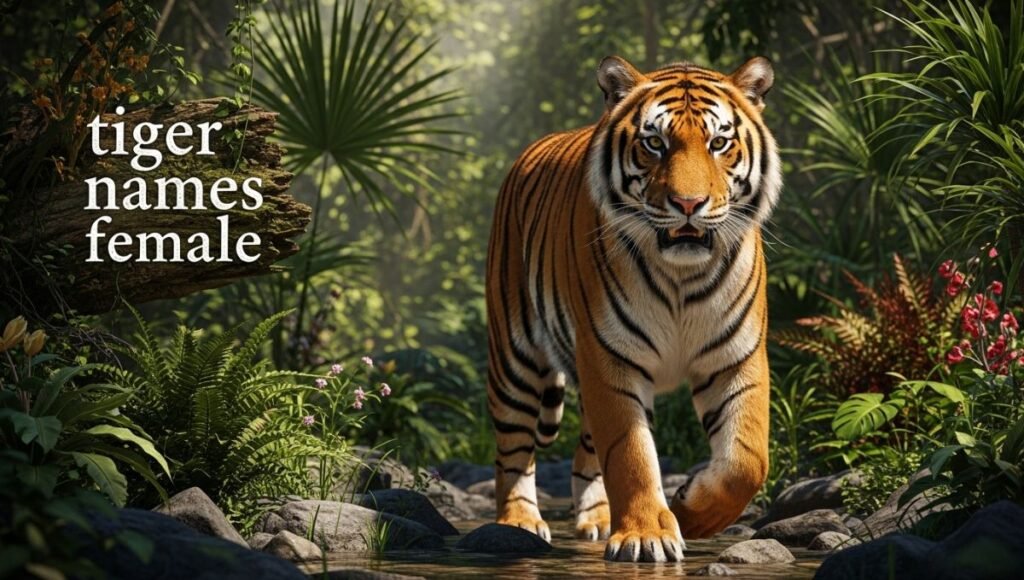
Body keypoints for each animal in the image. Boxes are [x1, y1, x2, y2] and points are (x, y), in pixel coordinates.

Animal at [484, 55, 781, 562]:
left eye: (719, 143)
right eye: (654, 143)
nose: (688, 203)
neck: (682, 275)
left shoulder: (736, 357)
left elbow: (746, 460)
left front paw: (690, 511)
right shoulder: (610, 359)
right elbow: (630, 455)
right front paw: (647, 535)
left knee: (585, 450)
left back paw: (597, 518)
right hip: (515, 360)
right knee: (514, 451)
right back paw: (519, 522)